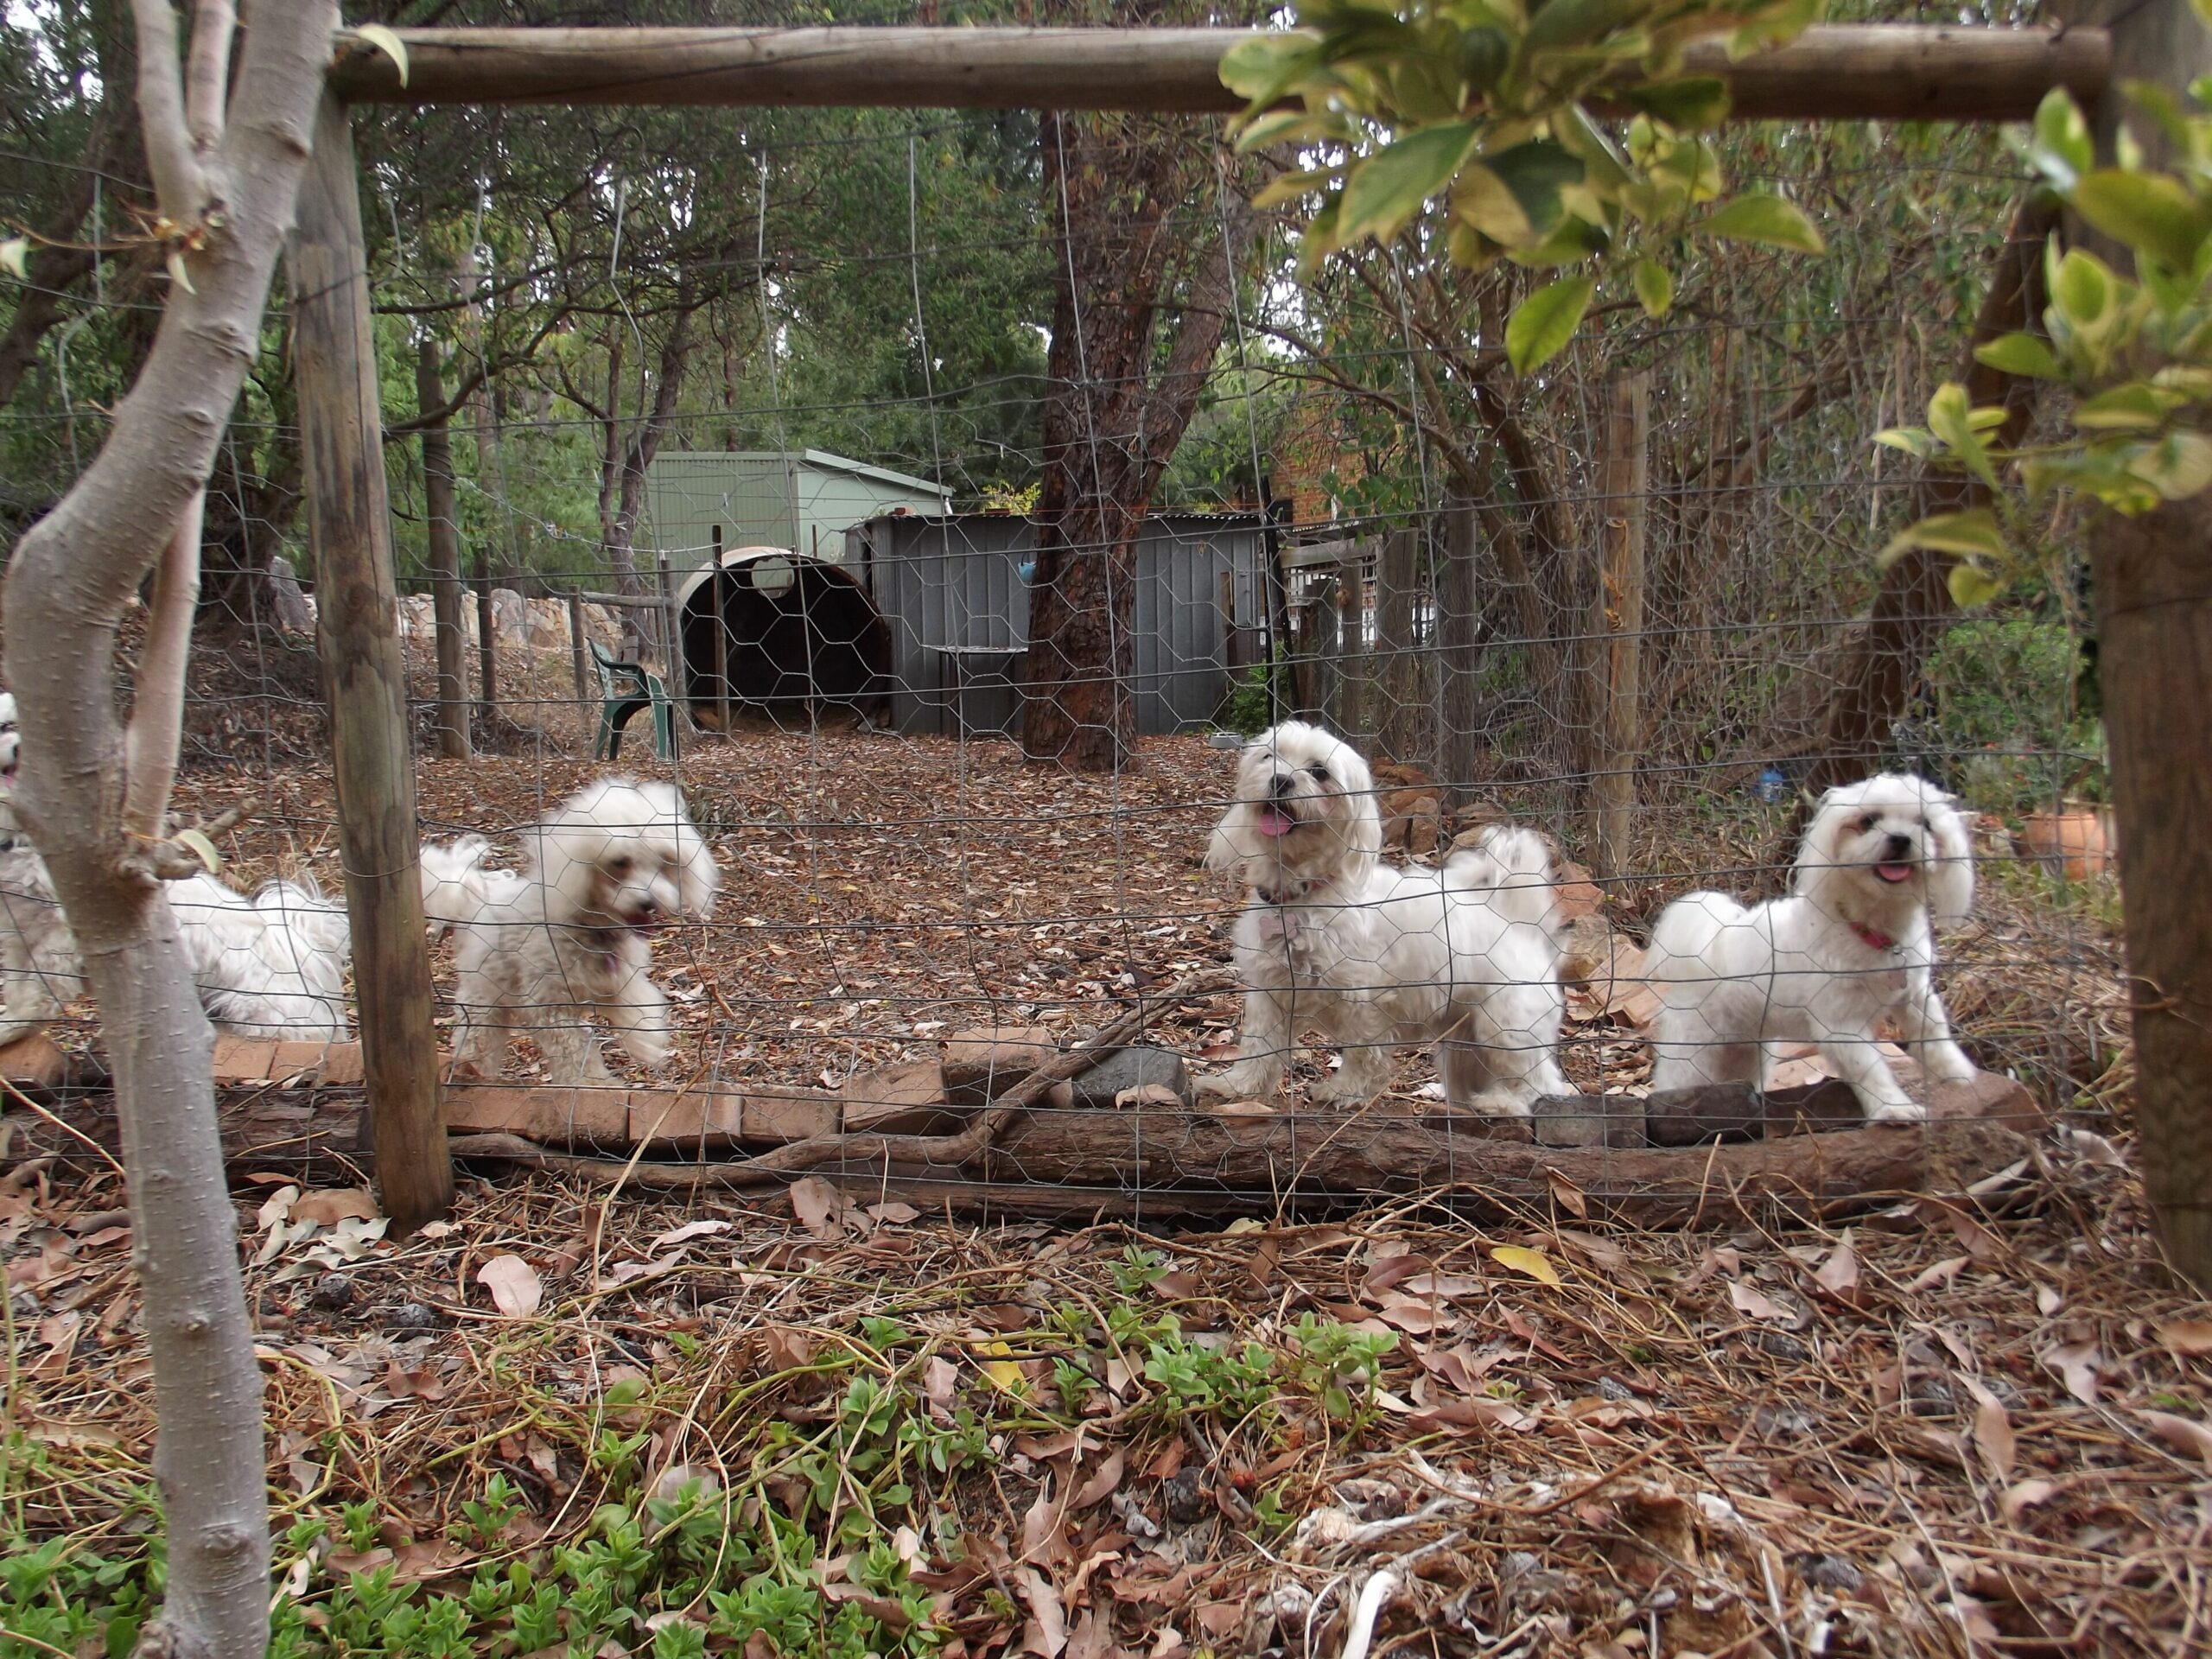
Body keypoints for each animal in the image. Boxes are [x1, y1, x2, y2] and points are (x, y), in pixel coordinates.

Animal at [444, 783, 721, 1092]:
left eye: (664, 861)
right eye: (620, 862)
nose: (649, 903)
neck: (592, 929)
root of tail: (479, 895)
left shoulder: (617, 981)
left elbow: (636, 1005)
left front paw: (647, 1043)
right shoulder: (550, 1006)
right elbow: (573, 1051)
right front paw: (591, 1082)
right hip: (484, 996)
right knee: (477, 1037)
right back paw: (472, 1071)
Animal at [1194, 725, 1574, 1123]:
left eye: (1319, 772)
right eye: (1269, 757)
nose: (1280, 780)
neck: (1306, 892)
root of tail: (1519, 921)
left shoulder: (1363, 999)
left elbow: (1364, 1054)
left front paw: (1344, 1091)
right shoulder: (1271, 995)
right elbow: (1259, 1047)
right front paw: (1238, 1087)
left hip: (1505, 1026)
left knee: (1541, 1081)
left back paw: (1503, 1103)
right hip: (1462, 1043)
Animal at [1645, 774, 1991, 1123]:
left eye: (1926, 824)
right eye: (1868, 821)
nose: (1901, 839)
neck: (1868, 928)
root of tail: (1705, 947)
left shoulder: (1914, 997)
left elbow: (1934, 1034)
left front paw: (1956, 1073)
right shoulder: (1839, 1024)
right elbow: (1868, 1069)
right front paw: (1894, 1108)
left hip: (1747, 1052)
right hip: (1693, 1051)